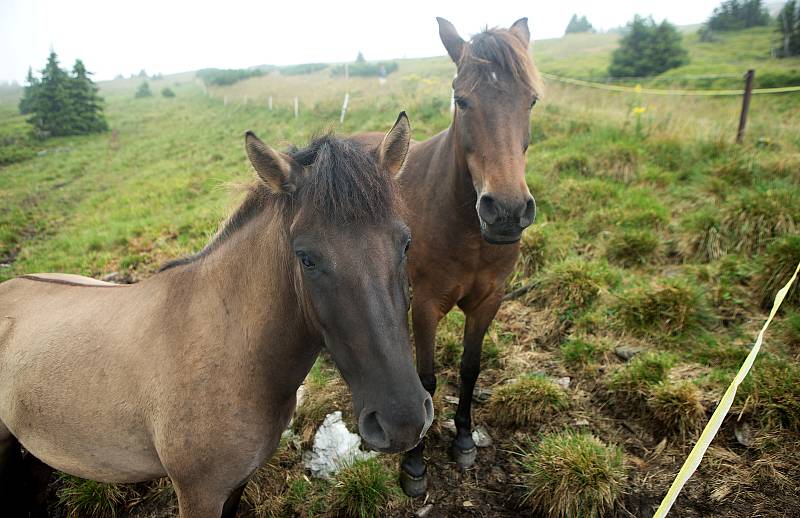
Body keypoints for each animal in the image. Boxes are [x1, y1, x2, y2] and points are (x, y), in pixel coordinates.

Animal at [0, 115, 432, 518]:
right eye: (306, 258)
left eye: (406, 242)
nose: (403, 421)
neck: (229, 349)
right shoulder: (199, 494)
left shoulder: (237, 482)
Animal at [354, 17, 540, 496]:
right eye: (462, 99)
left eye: (531, 100)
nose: (506, 211)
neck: (467, 231)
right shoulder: (426, 304)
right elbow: (427, 378)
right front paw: (415, 464)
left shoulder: (489, 300)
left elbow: (470, 369)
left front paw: (463, 441)